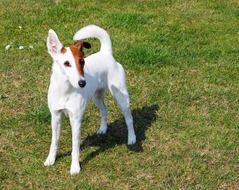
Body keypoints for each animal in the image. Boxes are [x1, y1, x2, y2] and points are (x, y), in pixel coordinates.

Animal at [43, 24, 136, 174]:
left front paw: (75, 167)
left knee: (129, 118)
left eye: (82, 61)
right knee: (104, 110)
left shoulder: (75, 120)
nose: (82, 83)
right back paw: (103, 129)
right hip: (96, 97)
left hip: (121, 97)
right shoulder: (55, 116)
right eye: (66, 63)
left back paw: (132, 138)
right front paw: (51, 159)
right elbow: (54, 141)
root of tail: (106, 53)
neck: (65, 90)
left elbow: (75, 147)